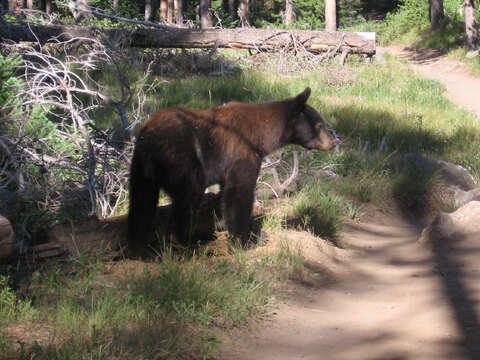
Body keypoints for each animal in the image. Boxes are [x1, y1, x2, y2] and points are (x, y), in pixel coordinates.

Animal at [127, 87, 338, 256]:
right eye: (320, 125)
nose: (333, 141)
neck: (262, 134)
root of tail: (149, 138)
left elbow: (224, 196)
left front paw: (224, 224)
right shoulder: (242, 153)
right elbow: (238, 193)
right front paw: (246, 240)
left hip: (140, 169)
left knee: (141, 204)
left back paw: (140, 248)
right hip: (181, 159)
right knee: (186, 198)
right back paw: (190, 243)